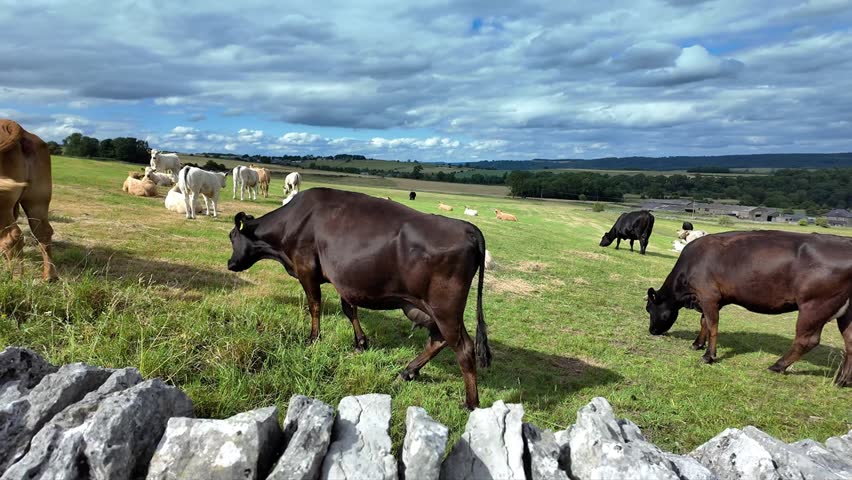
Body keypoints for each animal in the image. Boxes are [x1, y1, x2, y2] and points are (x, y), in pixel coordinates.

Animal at [226, 188, 492, 409]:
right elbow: (349, 309)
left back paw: (470, 403)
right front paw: (361, 342)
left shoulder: (306, 269)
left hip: (445, 309)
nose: (230, 264)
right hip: (429, 309)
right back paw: (407, 371)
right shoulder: (345, 281)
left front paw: (313, 338)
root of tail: (467, 227)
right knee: (438, 340)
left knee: (464, 348)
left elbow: (315, 306)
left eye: (231, 237)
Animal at [646, 230, 852, 387]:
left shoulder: (708, 295)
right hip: (845, 314)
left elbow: (712, 325)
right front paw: (697, 344)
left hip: (814, 305)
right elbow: (703, 321)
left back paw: (777, 366)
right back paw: (841, 381)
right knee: (850, 343)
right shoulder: (708, 299)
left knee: (807, 340)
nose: (652, 331)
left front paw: (708, 356)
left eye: (649, 309)